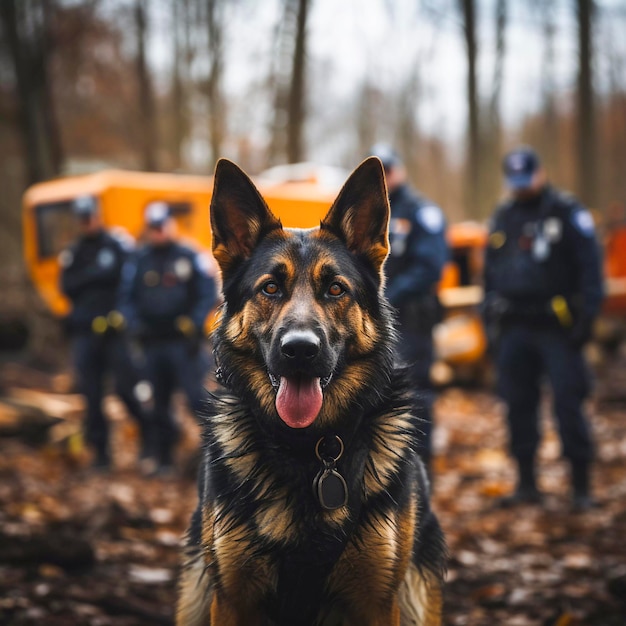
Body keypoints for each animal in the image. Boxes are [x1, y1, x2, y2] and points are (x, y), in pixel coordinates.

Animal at [176, 157, 444, 624]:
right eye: (270, 288)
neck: (308, 450)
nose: (300, 349)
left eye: (335, 289)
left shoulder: (378, 603)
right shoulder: (231, 601)